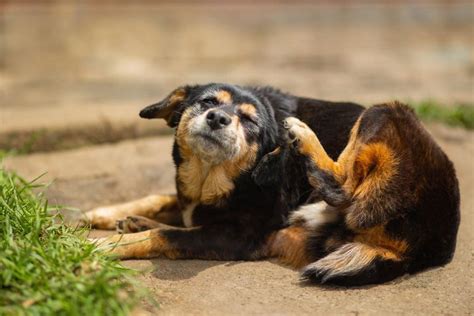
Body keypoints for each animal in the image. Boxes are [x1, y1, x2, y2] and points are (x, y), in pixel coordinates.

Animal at [86, 84, 460, 286]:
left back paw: (302, 135)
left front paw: (102, 247)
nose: (218, 118)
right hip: (291, 237)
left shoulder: (238, 238)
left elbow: (163, 235)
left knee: (340, 187)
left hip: (384, 110)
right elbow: (162, 200)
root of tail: (431, 248)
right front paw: (106, 214)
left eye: (249, 120)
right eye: (207, 102)